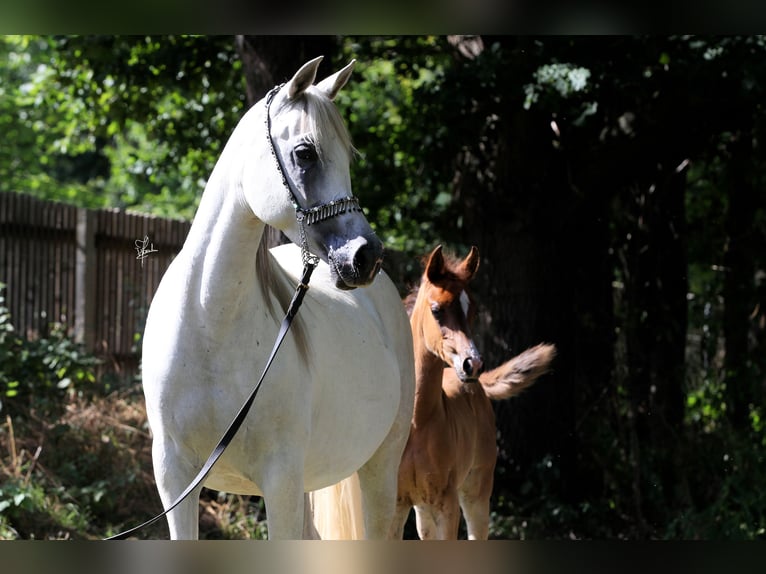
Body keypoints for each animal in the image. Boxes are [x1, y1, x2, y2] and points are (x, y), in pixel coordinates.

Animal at [138, 57, 414, 540]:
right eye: (305, 153)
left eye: (349, 158)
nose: (365, 256)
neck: (208, 325)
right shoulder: (174, 478)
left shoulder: (280, 480)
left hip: (380, 470)